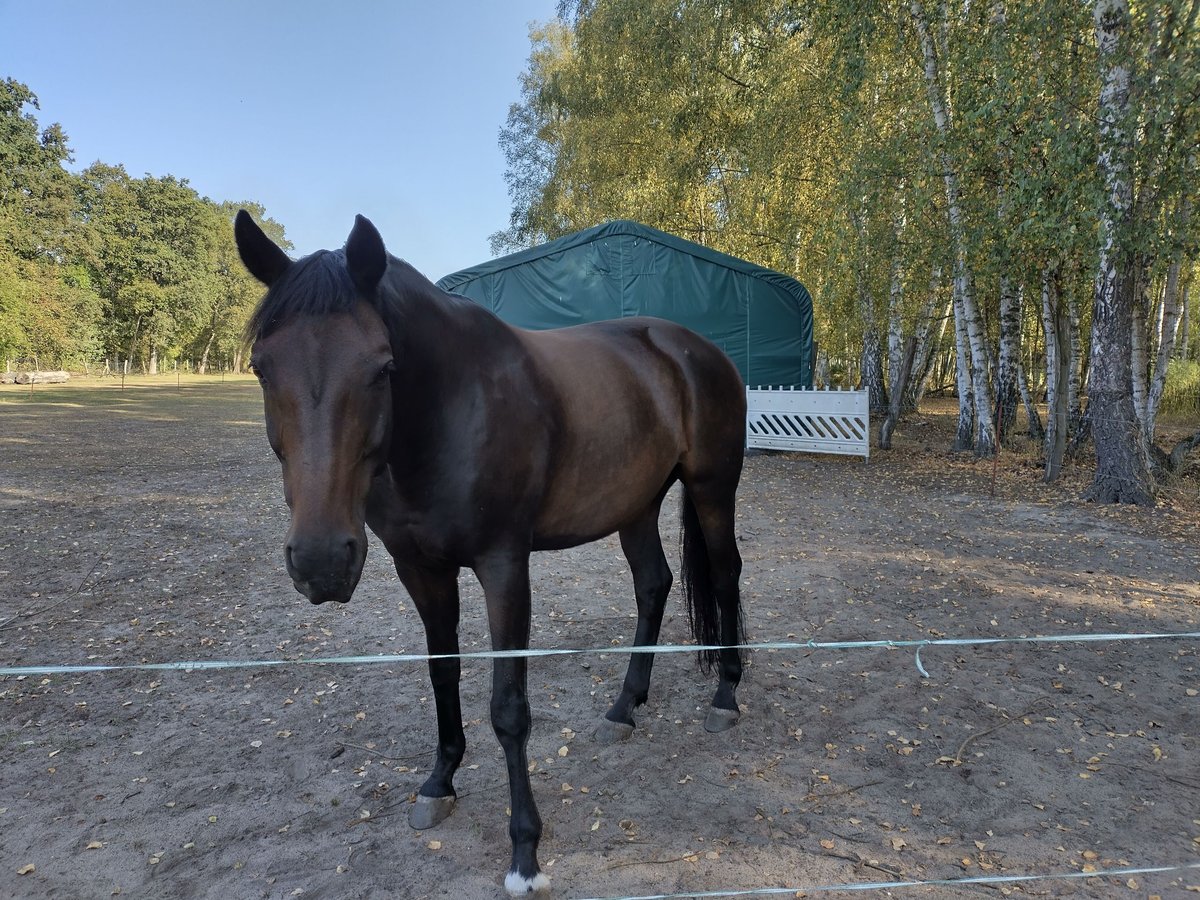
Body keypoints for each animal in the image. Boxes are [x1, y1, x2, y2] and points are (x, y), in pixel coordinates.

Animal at [231, 211, 748, 897]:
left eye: (383, 367)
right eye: (262, 368)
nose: (321, 562)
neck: (452, 412)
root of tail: (696, 349)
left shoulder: (505, 566)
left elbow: (509, 708)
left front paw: (525, 851)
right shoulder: (420, 568)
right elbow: (441, 671)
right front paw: (439, 782)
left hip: (713, 489)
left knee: (725, 575)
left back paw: (726, 697)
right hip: (635, 505)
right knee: (654, 585)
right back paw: (624, 708)